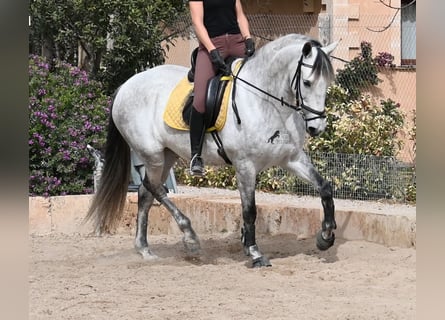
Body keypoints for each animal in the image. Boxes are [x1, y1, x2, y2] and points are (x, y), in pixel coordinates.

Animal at [86, 33, 336, 268]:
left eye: (327, 83)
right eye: (307, 82)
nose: (317, 127)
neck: (266, 101)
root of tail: (125, 85)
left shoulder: (291, 158)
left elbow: (324, 187)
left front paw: (326, 236)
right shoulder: (245, 165)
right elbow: (249, 210)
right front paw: (255, 253)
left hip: (167, 155)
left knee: (146, 192)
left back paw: (144, 249)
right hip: (153, 155)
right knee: (154, 188)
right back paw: (189, 237)